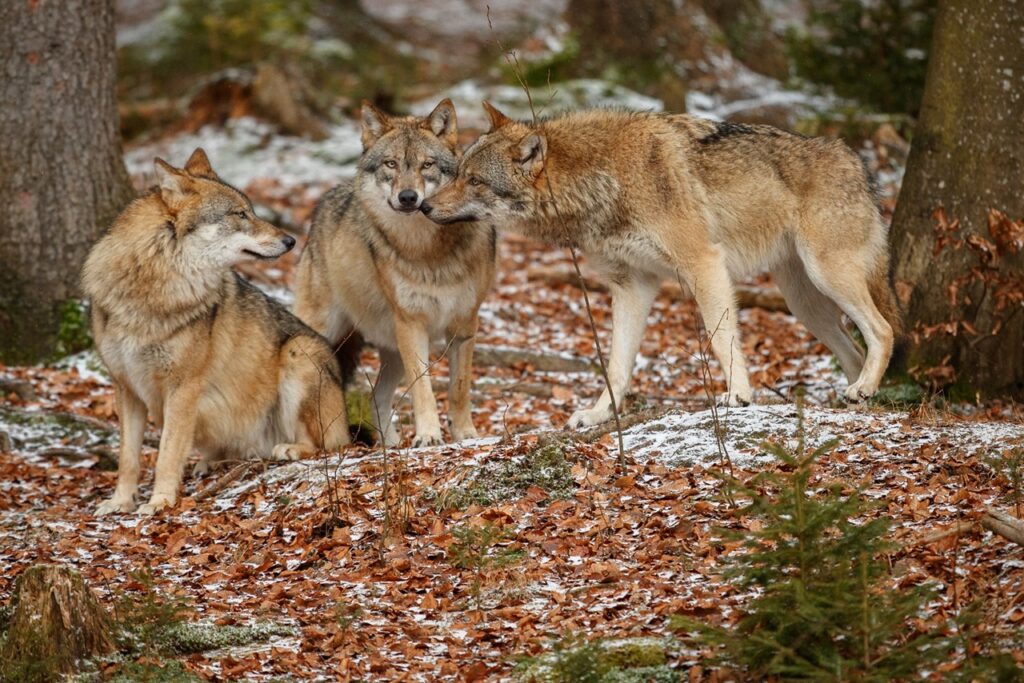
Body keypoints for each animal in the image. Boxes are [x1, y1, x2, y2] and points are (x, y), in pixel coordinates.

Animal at [82, 148, 349, 515]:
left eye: (251, 210)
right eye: (240, 214)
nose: (291, 240)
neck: (153, 288)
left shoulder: (183, 387)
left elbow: (166, 455)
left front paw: (159, 502)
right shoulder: (126, 388)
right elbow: (128, 459)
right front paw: (120, 502)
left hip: (299, 352)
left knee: (328, 445)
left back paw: (289, 448)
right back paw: (209, 462)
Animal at [293, 99, 495, 447]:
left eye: (427, 165)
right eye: (391, 164)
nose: (408, 197)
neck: (427, 251)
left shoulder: (465, 324)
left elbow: (459, 389)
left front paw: (466, 434)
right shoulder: (411, 324)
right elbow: (423, 389)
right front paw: (428, 436)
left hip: (392, 350)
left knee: (376, 396)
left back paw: (388, 445)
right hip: (322, 335)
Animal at [421, 104, 902, 428]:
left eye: (474, 180)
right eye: (456, 171)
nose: (423, 206)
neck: (604, 179)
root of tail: (857, 161)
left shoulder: (703, 264)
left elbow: (721, 338)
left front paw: (738, 395)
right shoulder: (631, 286)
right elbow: (616, 365)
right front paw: (598, 415)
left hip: (827, 276)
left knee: (883, 331)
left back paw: (863, 388)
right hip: (805, 303)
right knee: (854, 349)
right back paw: (855, 399)